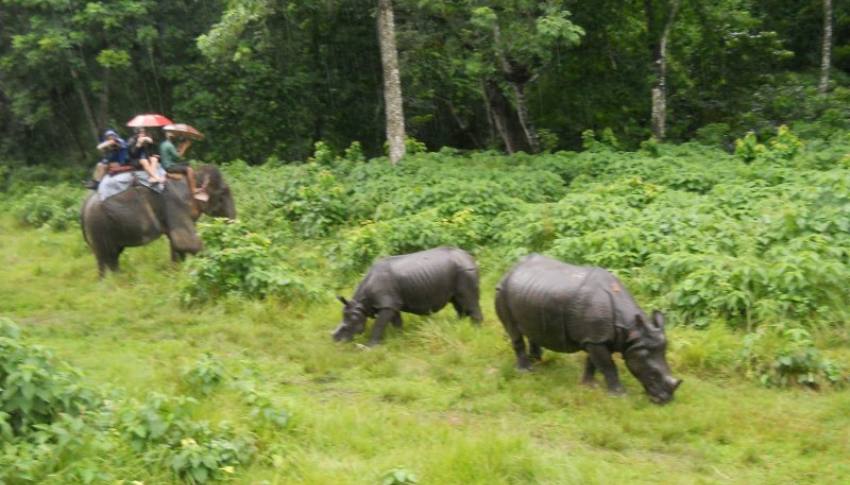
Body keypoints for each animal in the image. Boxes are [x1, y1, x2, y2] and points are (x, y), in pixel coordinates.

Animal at [80, 164, 235, 276]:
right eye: (222, 193)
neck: (191, 178)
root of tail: (84, 204)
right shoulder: (174, 204)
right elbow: (184, 241)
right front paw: (220, 260)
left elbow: (177, 244)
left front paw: (176, 272)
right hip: (99, 226)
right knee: (107, 256)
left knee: (112, 257)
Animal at [332, 246, 480, 344]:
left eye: (349, 323)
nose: (334, 339)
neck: (361, 304)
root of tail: (469, 256)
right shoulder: (391, 304)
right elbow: (396, 322)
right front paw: (399, 339)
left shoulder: (386, 304)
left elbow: (378, 326)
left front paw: (370, 347)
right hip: (459, 270)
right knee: (458, 302)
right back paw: (458, 326)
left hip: (465, 270)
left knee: (469, 301)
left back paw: (477, 331)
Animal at [494, 255, 680, 402]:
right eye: (652, 372)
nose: (666, 401)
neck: (631, 331)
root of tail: (510, 270)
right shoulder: (596, 339)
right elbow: (608, 365)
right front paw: (619, 395)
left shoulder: (596, 338)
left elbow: (594, 362)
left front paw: (589, 385)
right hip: (502, 292)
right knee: (514, 331)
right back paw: (526, 371)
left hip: (530, 292)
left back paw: (537, 361)